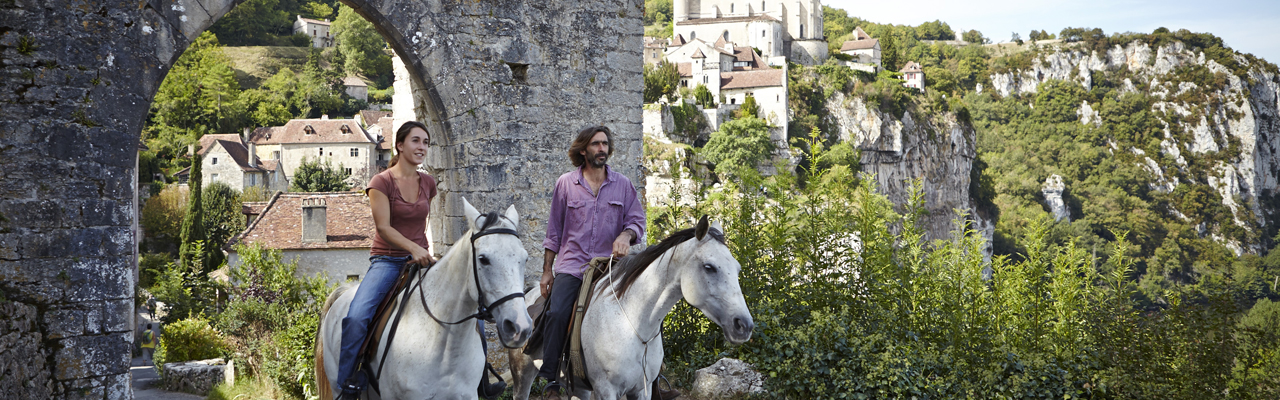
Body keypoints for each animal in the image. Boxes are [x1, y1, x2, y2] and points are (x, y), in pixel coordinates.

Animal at [506, 216, 747, 397]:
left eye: (737, 269)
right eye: (709, 267)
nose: (744, 325)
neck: (631, 323)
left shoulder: (642, 390)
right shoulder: (607, 390)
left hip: (578, 387)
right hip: (522, 374)